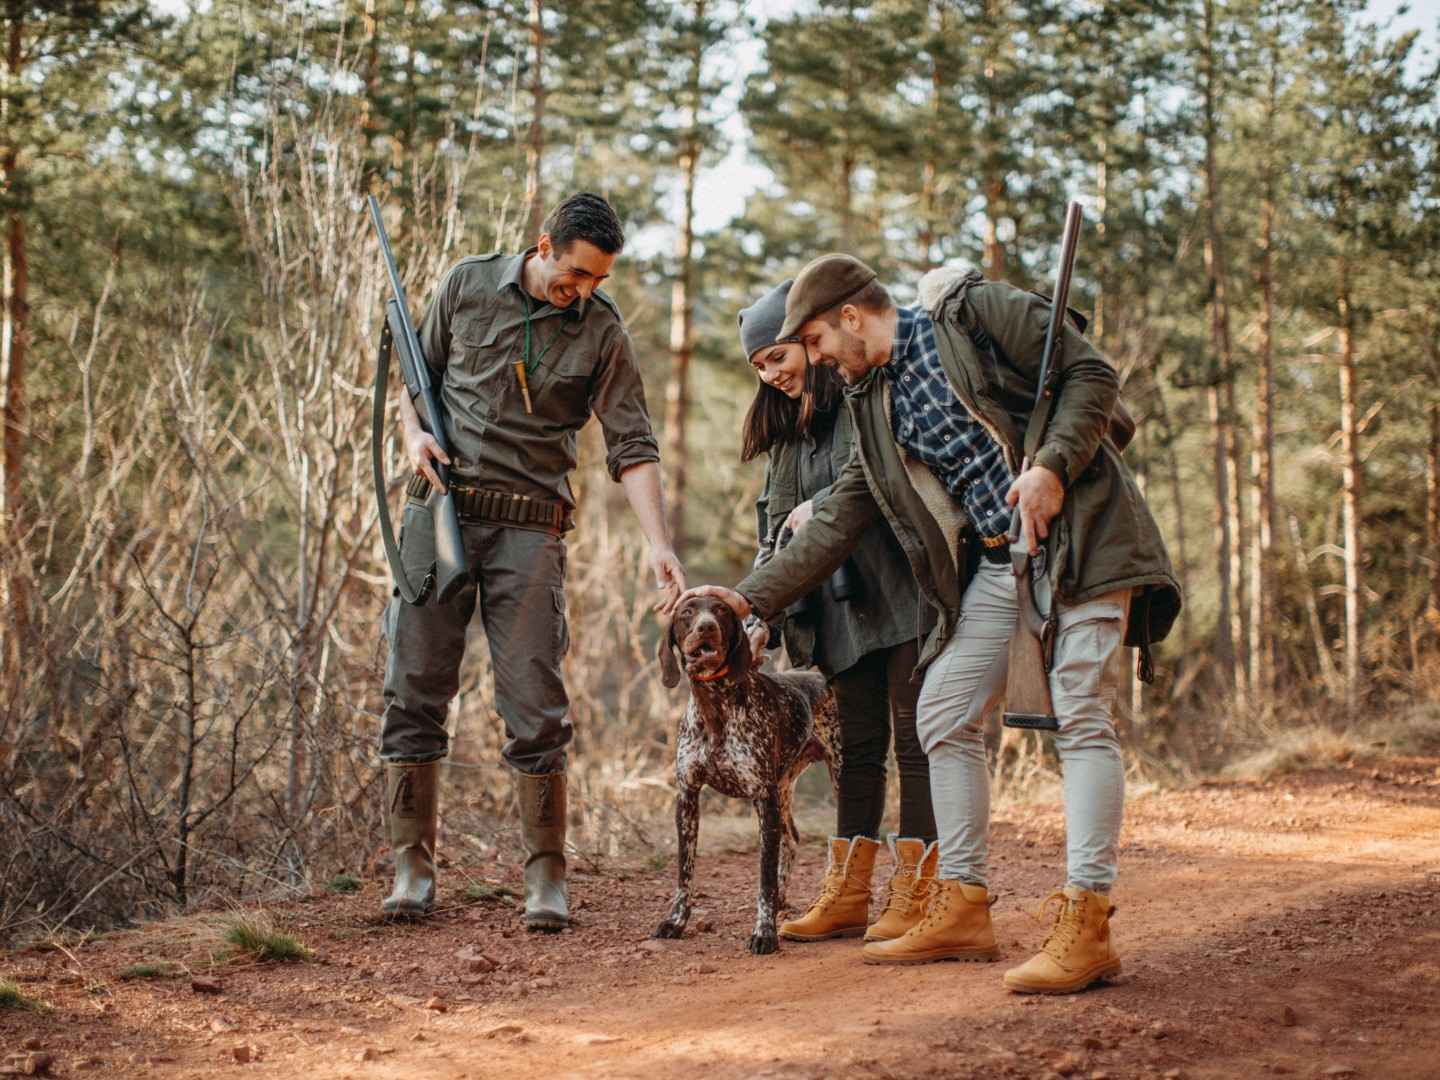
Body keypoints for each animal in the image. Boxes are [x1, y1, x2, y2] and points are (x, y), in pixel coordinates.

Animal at [656, 596, 840, 961]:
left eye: (721, 611)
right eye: (687, 612)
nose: (706, 626)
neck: (715, 707)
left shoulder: (762, 800)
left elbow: (763, 879)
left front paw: (764, 933)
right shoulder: (688, 798)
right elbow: (685, 872)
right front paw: (676, 921)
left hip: (835, 775)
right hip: (783, 789)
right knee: (793, 838)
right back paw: (784, 899)